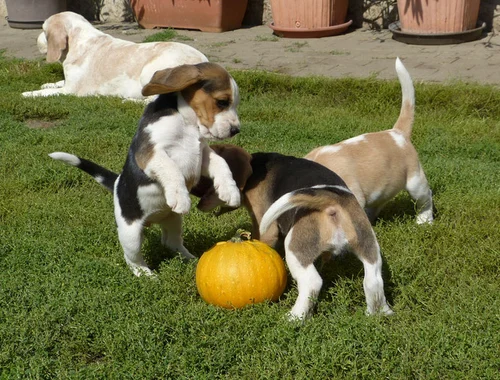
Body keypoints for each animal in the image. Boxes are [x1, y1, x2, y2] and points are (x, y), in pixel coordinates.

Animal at [21, 11, 208, 100]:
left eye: (43, 29)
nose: (36, 39)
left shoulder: (70, 91)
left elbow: (45, 93)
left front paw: (27, 94)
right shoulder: (68, 83)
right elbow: (55, 83)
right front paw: (47, 83)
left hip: (150, 72)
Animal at [49, 62, 241, 276]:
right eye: (222, 102)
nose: (236, 130)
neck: (187, 124)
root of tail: (116, 182)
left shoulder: (203, 154)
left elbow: (221, 164)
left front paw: (230, 191)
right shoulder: (151, 153)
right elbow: (172, 170)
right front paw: (180, 197)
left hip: (174, 221)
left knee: (170, 242)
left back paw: (189, 258)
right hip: (130, 233)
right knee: (132, 258)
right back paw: (146, 274)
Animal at [193, 145, 392, 320]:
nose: (192, 189)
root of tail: (332, 200)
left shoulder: (265, 226)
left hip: (296, 248)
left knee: (312, 282)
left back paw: (295, 317)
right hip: (368, 246)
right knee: (373, 281)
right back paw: (379, 313)